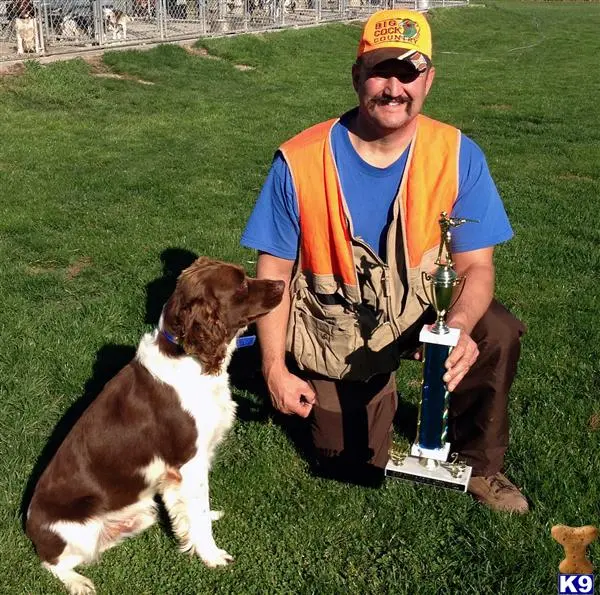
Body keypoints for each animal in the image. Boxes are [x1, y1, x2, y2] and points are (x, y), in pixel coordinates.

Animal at [25, 258, 284, 595]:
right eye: (240, 284)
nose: (282, 284)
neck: (192, 360)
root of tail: (29, 525)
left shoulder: (177, 472)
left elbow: (189, 508)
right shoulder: (190, 461)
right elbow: (198, 510)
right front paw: (212, 555)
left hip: (141, 513)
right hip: (78, 528)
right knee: (53, 562)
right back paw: (78, 582)